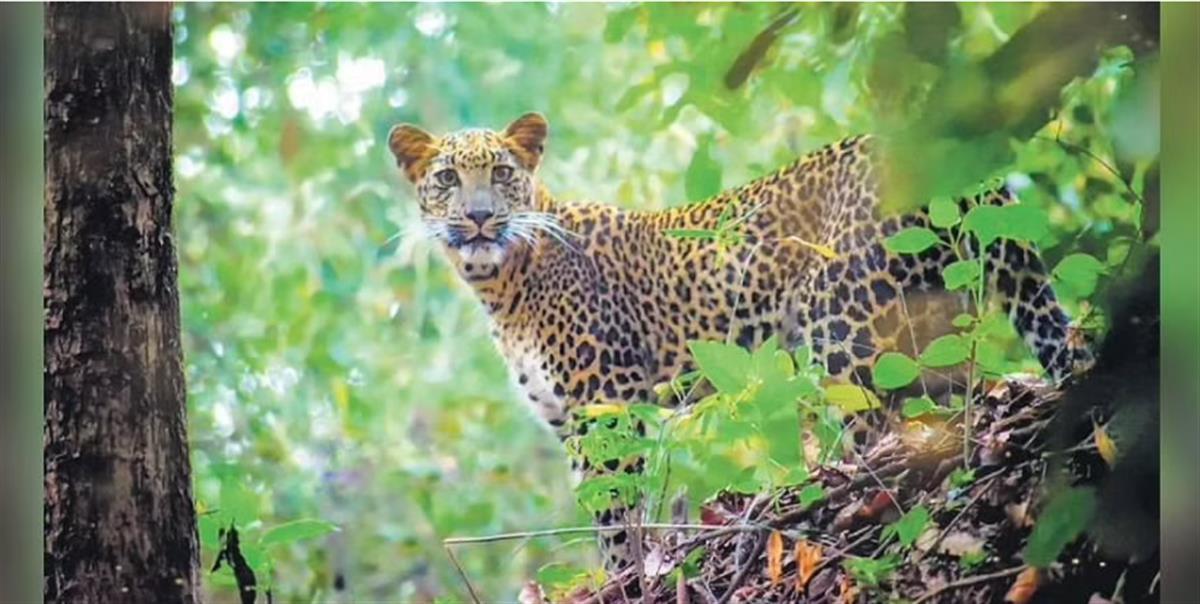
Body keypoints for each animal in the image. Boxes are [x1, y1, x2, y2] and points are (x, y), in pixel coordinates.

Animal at [386, 112, 1099, 571]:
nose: (479, 216)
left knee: (877, 439)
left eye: (502, 173)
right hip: (929, 327)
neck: (501, 282)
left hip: (839, 328)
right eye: (447, 179)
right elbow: (605, 515)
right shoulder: (570, 421)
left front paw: (623, 581)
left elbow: (617, 521)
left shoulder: (608, 411)